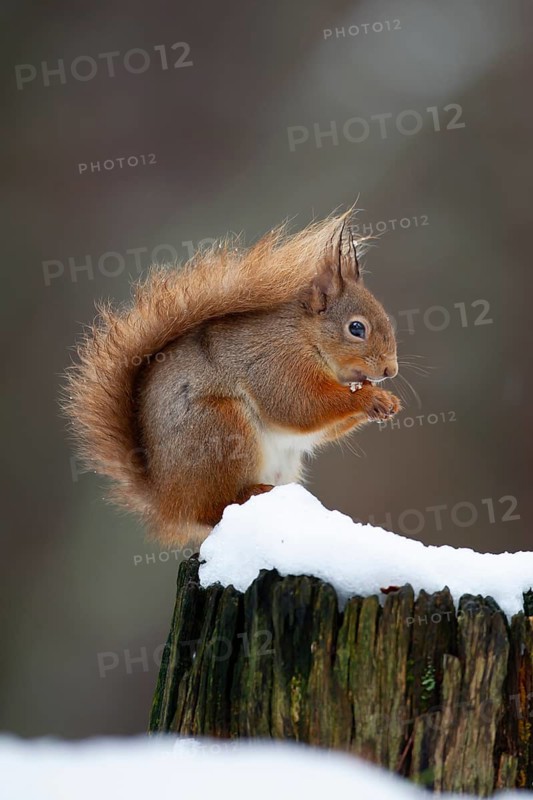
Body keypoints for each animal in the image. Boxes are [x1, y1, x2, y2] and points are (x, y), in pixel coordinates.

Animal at [63, 211, 401, 545]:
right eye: (356, 328)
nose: (390, 370)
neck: (306, 336)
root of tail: (166, 499)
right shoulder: (277, 364)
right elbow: (299, 406)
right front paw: (370, 397)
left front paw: (387, 402)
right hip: (220, 430)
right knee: (211, 510)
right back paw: (248, 493)